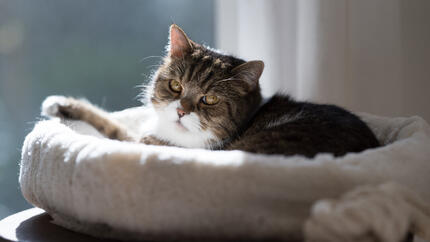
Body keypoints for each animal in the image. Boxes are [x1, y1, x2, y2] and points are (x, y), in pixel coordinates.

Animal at [42, 24, 378, 157]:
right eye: (176, 85)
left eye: (210, 99)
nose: (181, 110)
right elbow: (112, 122)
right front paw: (61, 104)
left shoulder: (152, 142)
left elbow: (119, 135)